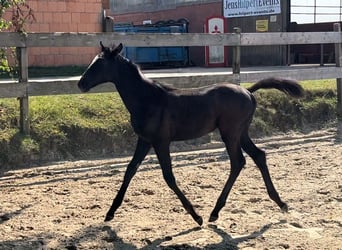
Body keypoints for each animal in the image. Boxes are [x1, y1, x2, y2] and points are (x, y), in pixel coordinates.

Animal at [77, 42, 304, 226]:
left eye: (100, 64)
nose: (80, 84)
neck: (147, 99)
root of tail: (248, 91)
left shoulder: (161, 142)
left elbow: (168, 176)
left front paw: (196, 216)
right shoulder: (144, 140)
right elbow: (130, 170)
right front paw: (110, 212)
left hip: (230, 133)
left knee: (238, 162)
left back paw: (214, 212)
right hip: (241, 133)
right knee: (258, 156)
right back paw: (280, 202)